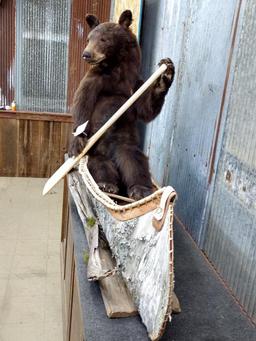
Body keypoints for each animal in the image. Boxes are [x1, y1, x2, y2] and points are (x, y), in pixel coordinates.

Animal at [69, 9, 175, 199]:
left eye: (103, 39)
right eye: (89, 38)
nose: (86, 54)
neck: (119, 70)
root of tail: (112, 155)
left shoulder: (136, 84)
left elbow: (147, 108)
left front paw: (166, 73)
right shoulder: (97, 79)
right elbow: (83, 100)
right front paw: (78, 139)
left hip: (125, 142)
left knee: (135, 161)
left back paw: (140, 189)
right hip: (96, 149)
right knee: (99, 165)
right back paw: (107, 185)